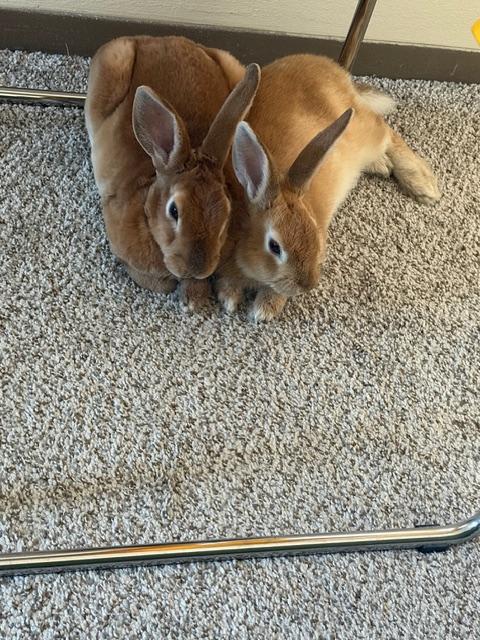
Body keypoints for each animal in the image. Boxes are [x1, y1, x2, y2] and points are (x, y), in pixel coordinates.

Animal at [85, 35, 259, 309]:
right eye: (174, 211)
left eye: (226, 213)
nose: (197, 269)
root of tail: (160, 40)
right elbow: (158, 282)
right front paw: (192, 296)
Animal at [216, 54, 441, 321]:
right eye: (274, 246)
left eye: (316, 235)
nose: (308, 285)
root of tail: (333, 68)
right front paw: (229, 298)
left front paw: (264, 310)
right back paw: (381, 165)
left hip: (364, 132)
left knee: (387, 131)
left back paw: (423, 184)